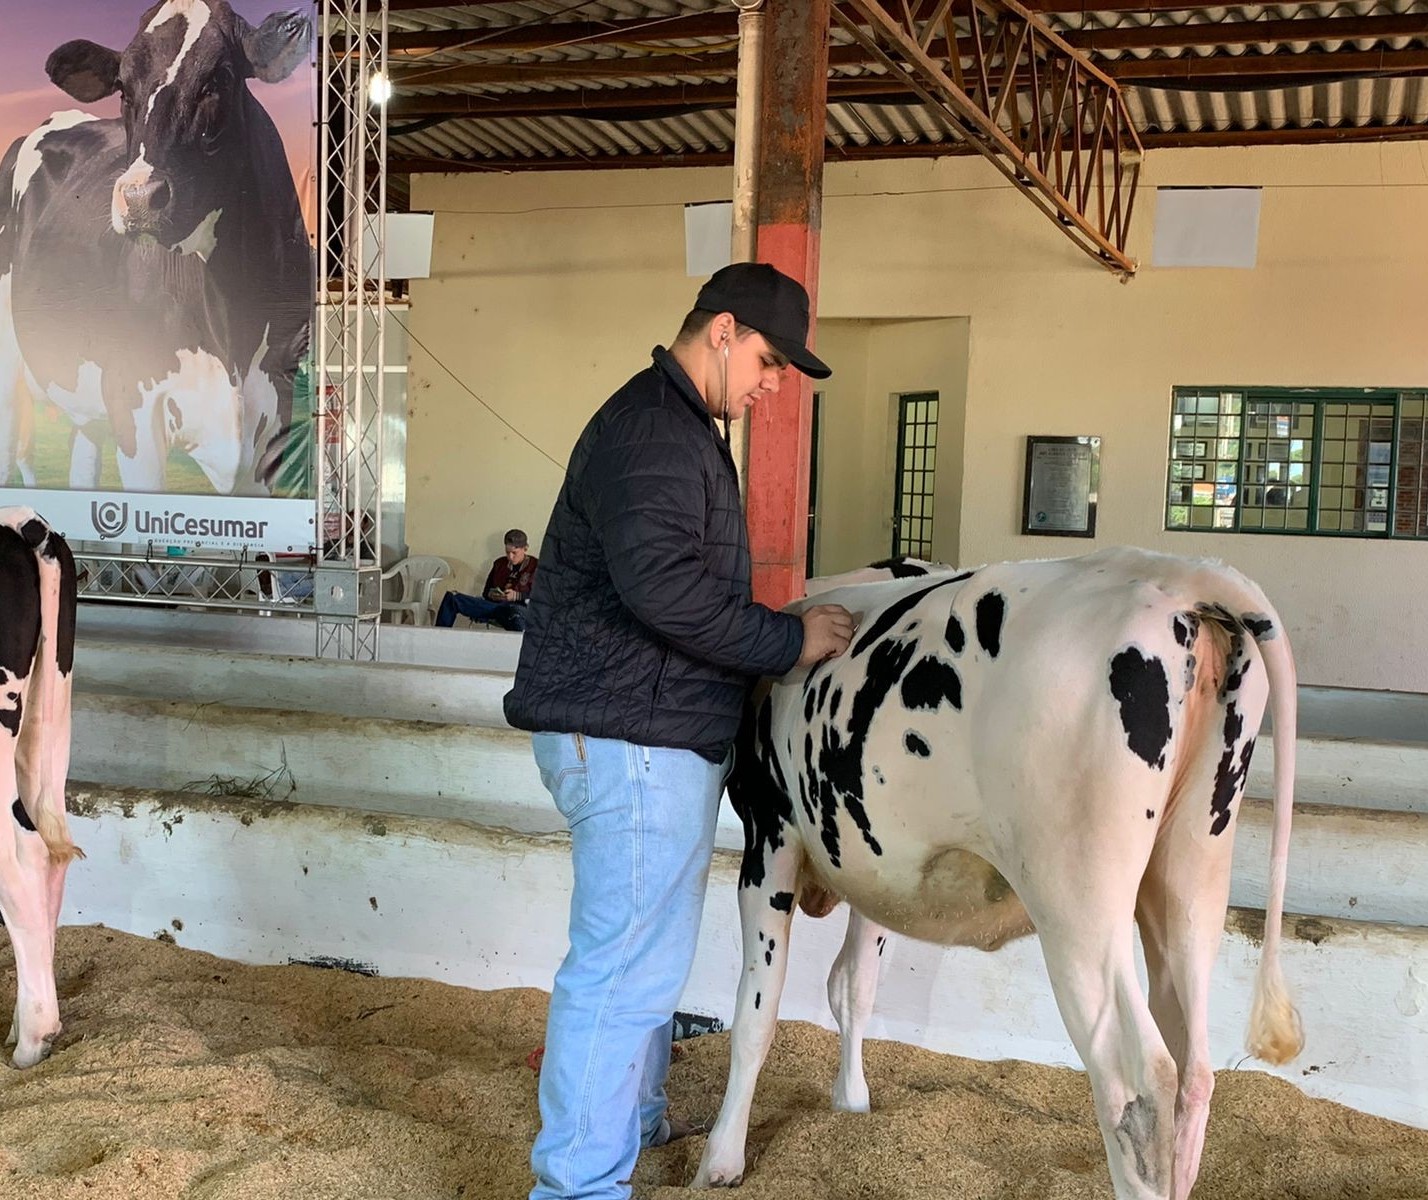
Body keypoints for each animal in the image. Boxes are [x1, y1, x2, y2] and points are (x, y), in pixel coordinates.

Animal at [694, 545, 1308, 1200]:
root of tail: (1171, 572)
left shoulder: (770, 838)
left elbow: (756, 1010)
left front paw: (722, 1159)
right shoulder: (874, 867)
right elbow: (853, 986)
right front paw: (851, 1107)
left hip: (1075, 895)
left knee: (1137, 1080)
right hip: (1192, 867)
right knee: (1192, 1064)